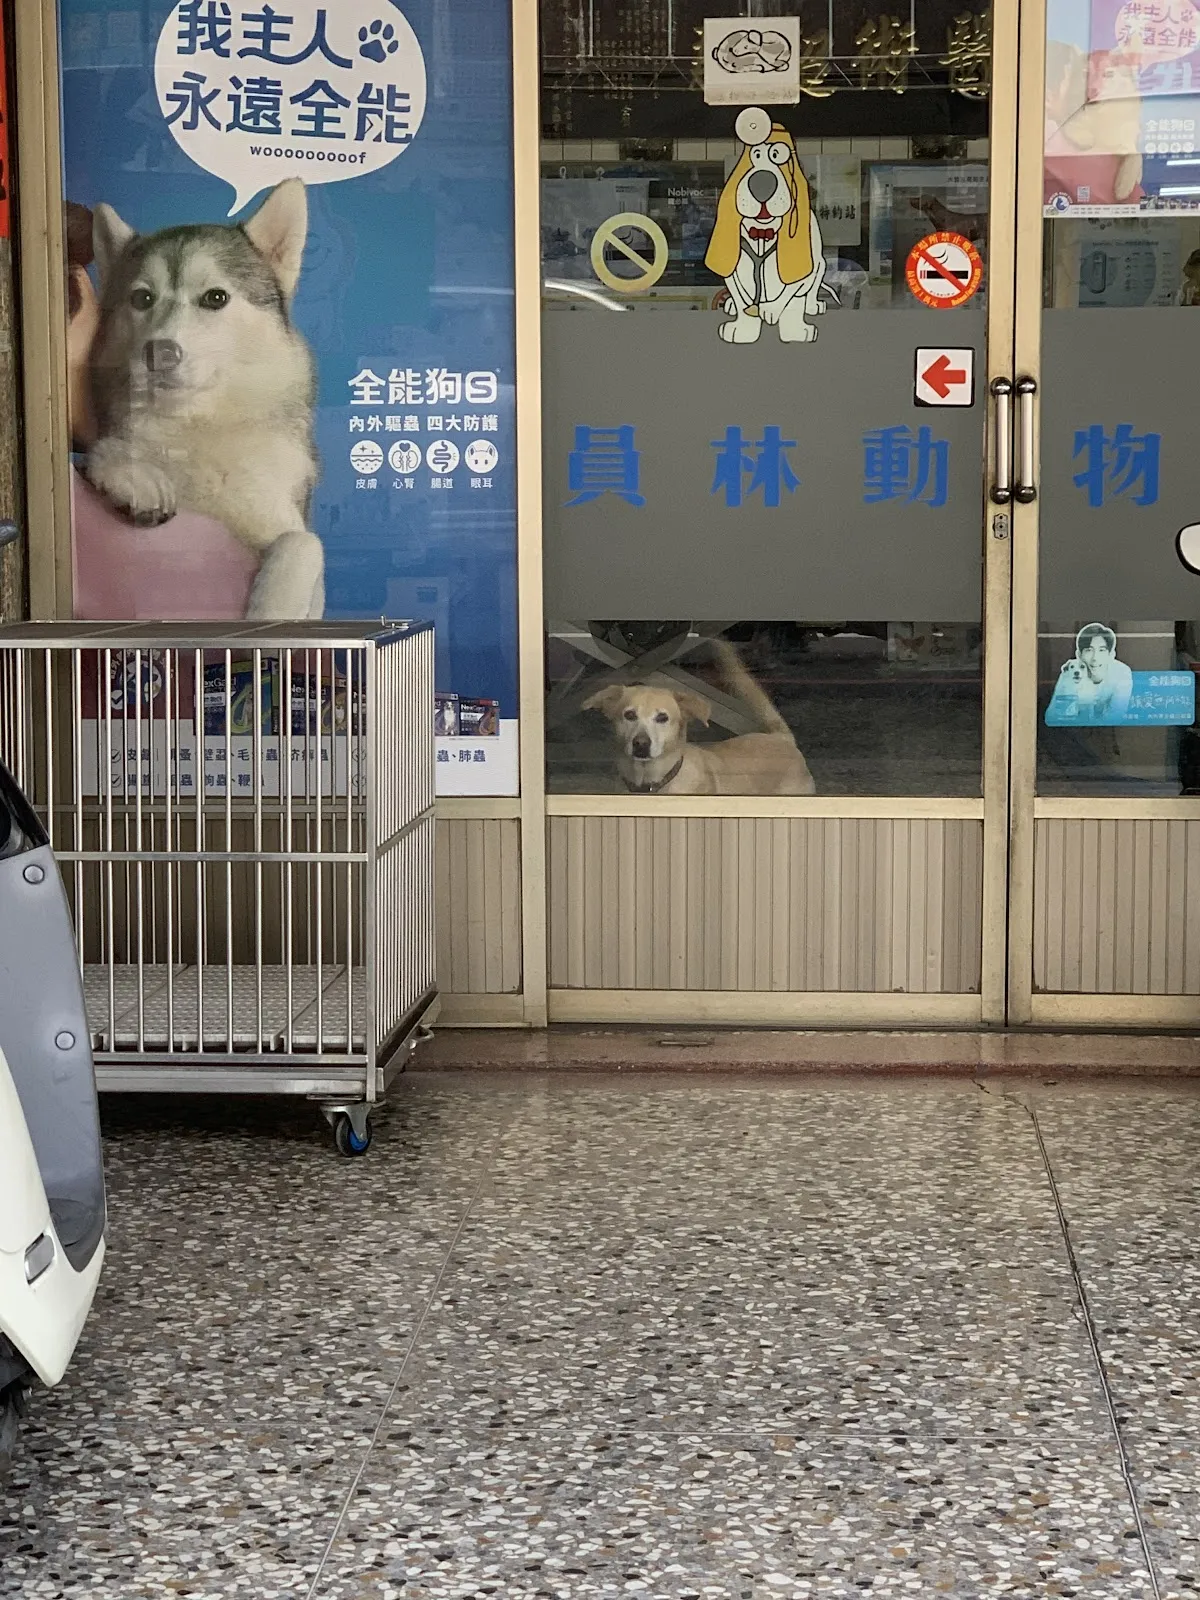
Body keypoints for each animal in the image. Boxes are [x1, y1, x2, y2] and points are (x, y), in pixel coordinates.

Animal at [86, 178, 324, 621]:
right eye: (142, 299)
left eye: (216, 298)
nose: (159, 353)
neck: (197, 427)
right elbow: (101, 450)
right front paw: (136, 476)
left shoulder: (287, 529)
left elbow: (303, 543)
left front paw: (271, 612)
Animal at [704, 106, 827, 345]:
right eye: (757, 155)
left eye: (777, 155)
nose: (762, 182)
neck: (763, 232)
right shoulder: (735, 269)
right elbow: (742, 301)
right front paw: (741, 329)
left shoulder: (803, 269)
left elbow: (793, 298)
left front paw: (794, 330)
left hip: (821, 265)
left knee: (812, 289)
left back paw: (813, 305)